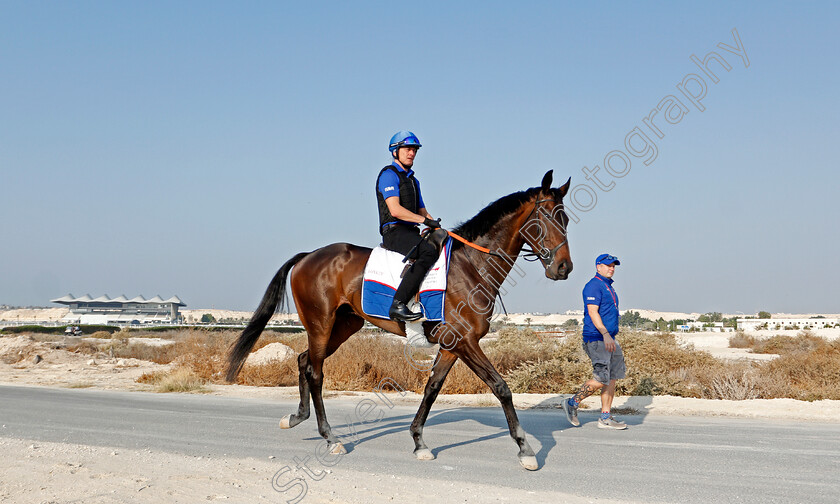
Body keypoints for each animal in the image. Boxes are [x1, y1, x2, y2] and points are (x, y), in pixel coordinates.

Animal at [226, 171, 576, 470]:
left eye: (566, 219)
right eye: (546, 218)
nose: (564, 268)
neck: (472, 266)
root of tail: (307, 256)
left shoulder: (452, 345)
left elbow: (432, 388)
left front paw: (419, 441)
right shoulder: (465, 341)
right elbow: (501, 387)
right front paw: (526, 450)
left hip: (344, 325)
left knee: (303, 360)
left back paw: (296, 416)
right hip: (320, 323)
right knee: (315, 371)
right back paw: (330, 437)